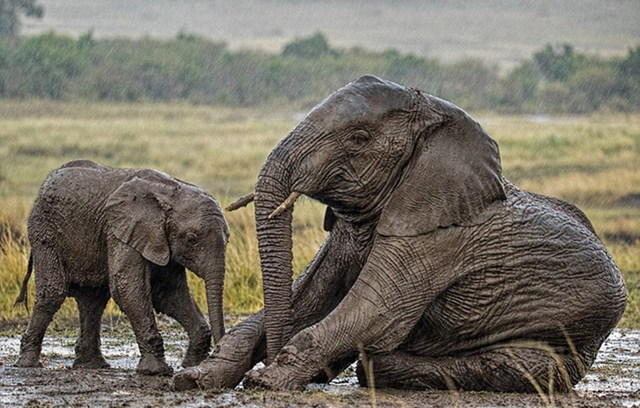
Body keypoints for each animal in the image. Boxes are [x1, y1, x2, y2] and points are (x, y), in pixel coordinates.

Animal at [13, 160, 230, 376]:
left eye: (227, 238)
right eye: (192, 239)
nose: (218, 352)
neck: (171, 191)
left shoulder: (158, 238)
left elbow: (168, 293)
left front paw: (192, 364)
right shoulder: (121, 231)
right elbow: (128, 289)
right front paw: (155, 371)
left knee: (93, 299)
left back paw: (91, 365)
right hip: (44, 231)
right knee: (53, 292)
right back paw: (28, 363)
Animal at [175, 75, 624, 390]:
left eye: (358, 138)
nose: (270, 359)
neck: (438, 118)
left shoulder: (438, 237)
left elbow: (375, 310)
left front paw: (267, 382)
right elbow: (310, 296)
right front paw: (196, 379)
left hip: (570, 339)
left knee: (516, 366)